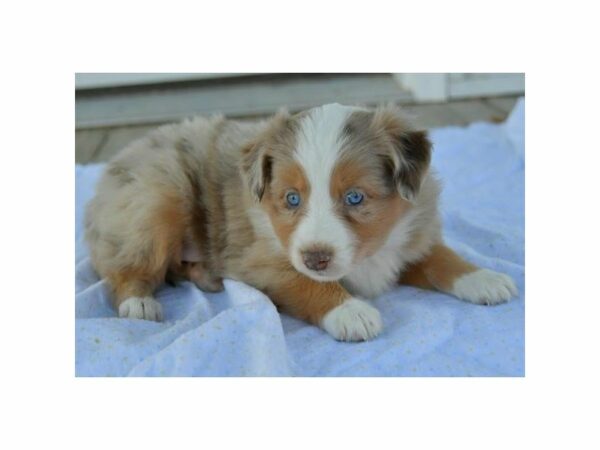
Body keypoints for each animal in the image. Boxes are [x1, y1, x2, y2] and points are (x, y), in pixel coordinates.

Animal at [84, 103, 516, 342]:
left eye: (355, 197)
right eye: (292, 199)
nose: (316, 258)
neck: (366, 257)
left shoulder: (408, 232)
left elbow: (440, 255)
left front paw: (483, 277)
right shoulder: (259, 260)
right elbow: (304, 283)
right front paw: (350, 312)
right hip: (158, 194)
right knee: (122, 268)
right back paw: (140, 302)